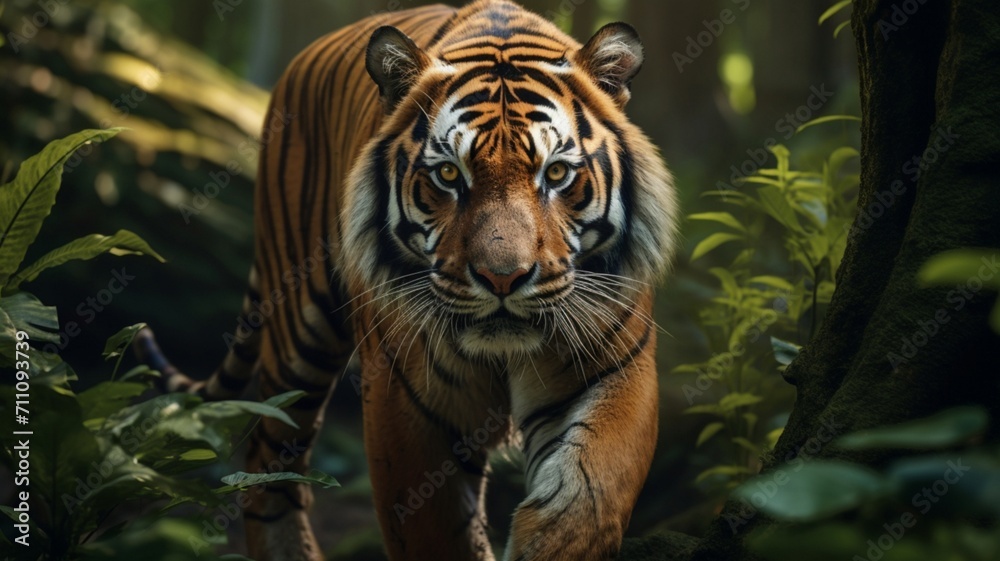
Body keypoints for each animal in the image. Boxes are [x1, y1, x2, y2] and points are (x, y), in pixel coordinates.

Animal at [135, 1, 678, 559]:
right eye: (449, 175)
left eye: (555, 174)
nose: (501, 278)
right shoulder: (406, 401)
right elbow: (434, 532)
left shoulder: (616, 369)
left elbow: (588, 500)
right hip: (297, 333)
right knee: (267, 467)